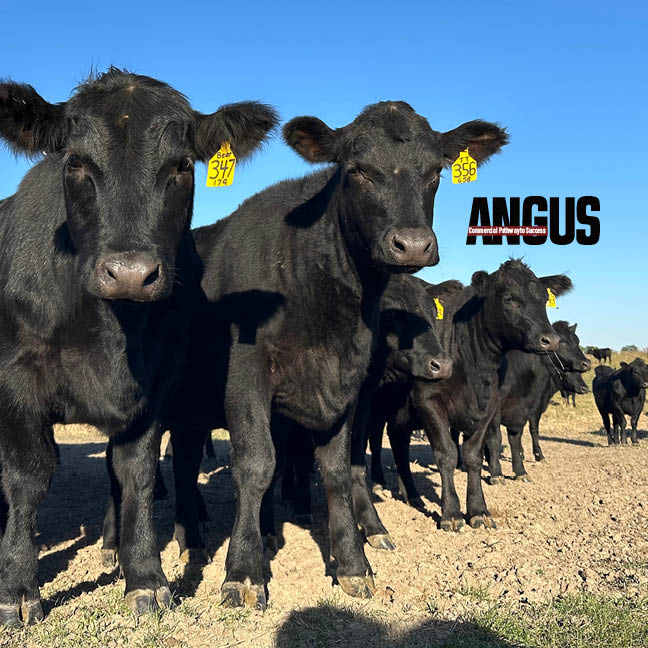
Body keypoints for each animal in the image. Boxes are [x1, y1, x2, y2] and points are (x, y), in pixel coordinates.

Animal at [0, 68, 277, 625]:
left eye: (182, 167)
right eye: (75, 163)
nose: (130, 273)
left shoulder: (157, 384)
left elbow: (138, 473)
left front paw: (145, 577)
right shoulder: (16, 376)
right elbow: (27, 475)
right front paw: (17, 587)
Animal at [158, 102, 507, 610]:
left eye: (436, 172)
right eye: (356, 169)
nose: (413, 244)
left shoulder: (346, 385)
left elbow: (341, 471)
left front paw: (352, 562)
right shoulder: (246, 378)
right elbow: (256, 464)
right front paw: (244, 571)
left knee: (184, 459)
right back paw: (179, 540)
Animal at [365, 262, 571, 531]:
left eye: (544, 299)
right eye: (509, 299)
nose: (550, 339)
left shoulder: (490, 407)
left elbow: (473, 455)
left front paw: (478, 510)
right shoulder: (429, 402)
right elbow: (447, 454)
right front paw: (451, 513)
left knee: (399, 443)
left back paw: (412, 495)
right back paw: (380, 483)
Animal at [484, 321, 590, 483]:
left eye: (577, 341)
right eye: (562, 342)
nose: (587, 363)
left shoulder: (526, 409)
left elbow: (519, 437)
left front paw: (521, 470)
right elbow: (495, 438)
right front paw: (496, 473)